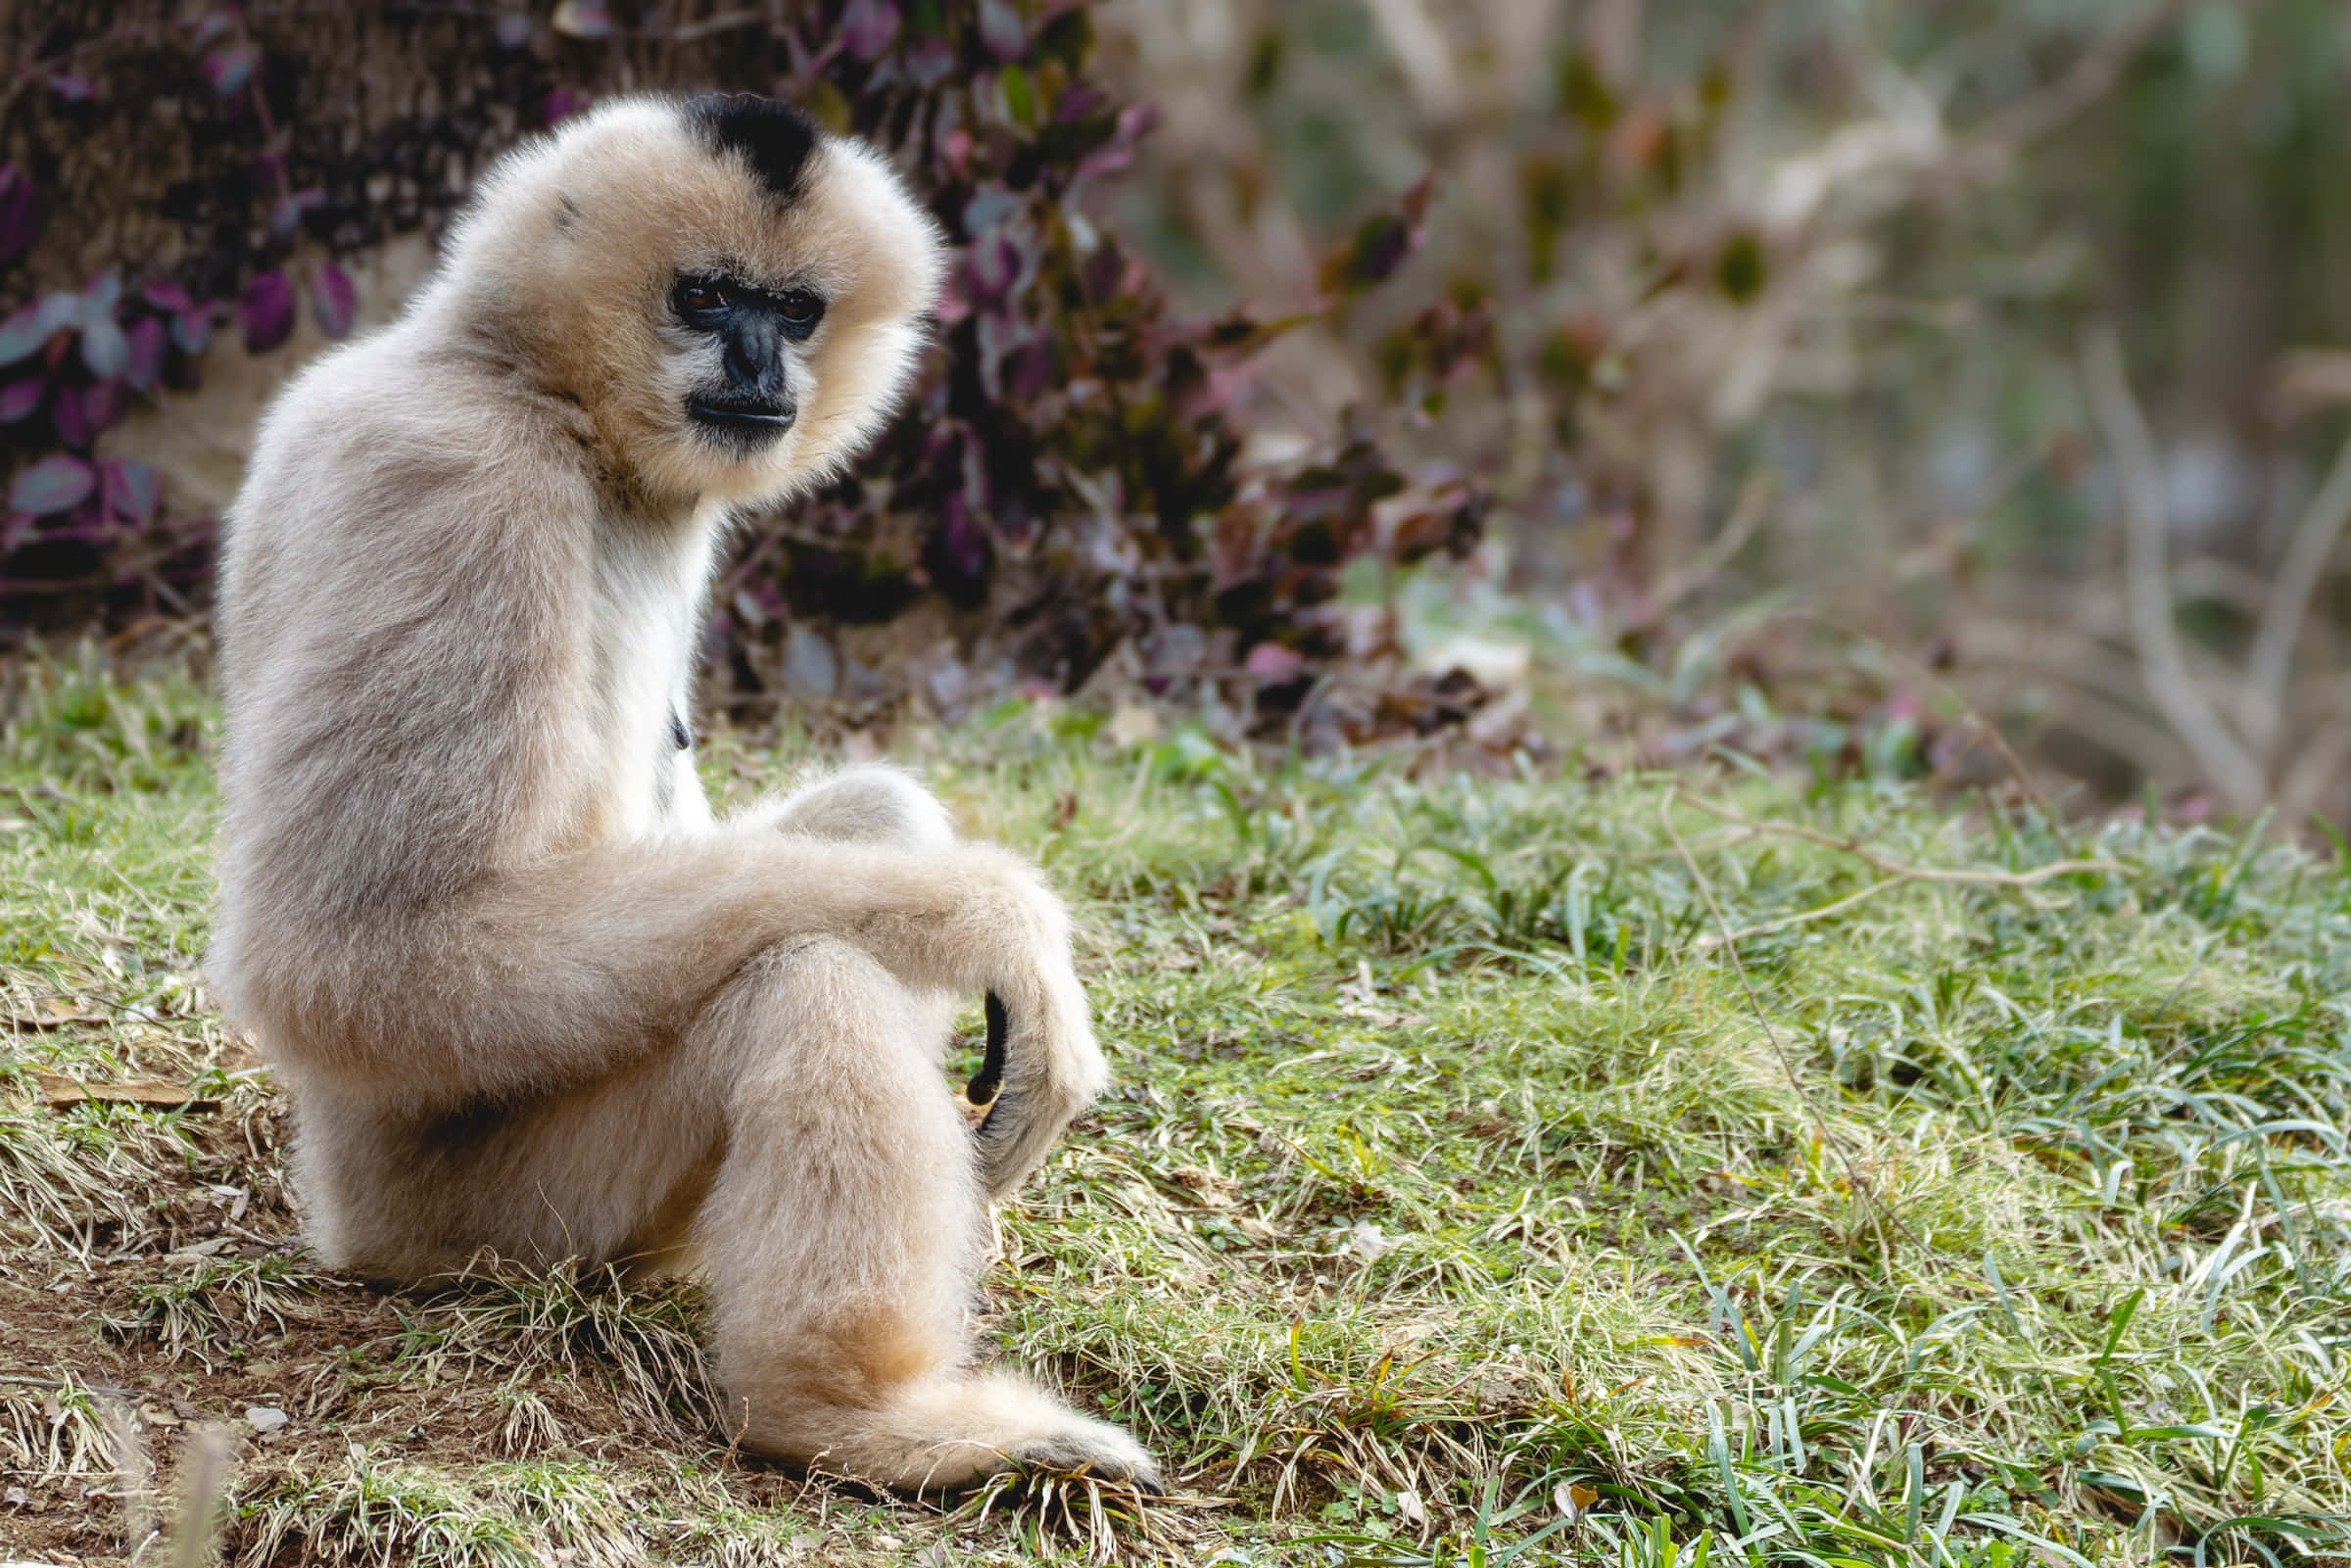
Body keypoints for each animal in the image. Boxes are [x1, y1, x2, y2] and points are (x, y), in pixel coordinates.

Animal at [205, 93, 1160, 1494]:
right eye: (706, 297)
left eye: (796, 309)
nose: (760, 364)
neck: (516, 377)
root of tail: (342, 1207)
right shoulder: (455, 489)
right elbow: (358, 952)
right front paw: (998, 924)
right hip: (484, 1209)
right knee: (806, 975)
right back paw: (857, 1415)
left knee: (865, 834)